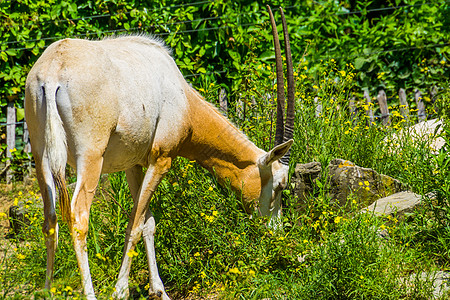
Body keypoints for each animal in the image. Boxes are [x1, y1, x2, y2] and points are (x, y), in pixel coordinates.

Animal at [24, 4, 294, 300]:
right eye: (280, 185)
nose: (276, 231)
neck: (182, 99)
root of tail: (53, 72)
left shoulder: (133, 165)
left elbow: (147, 222)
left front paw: (159, 290)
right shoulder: (161, 159)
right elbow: (136, 223)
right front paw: (121, 290)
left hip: (40, 154)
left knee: (49, 218)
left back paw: (48, 291)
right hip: (91, 157)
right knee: (79, 217)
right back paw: (90, 293)